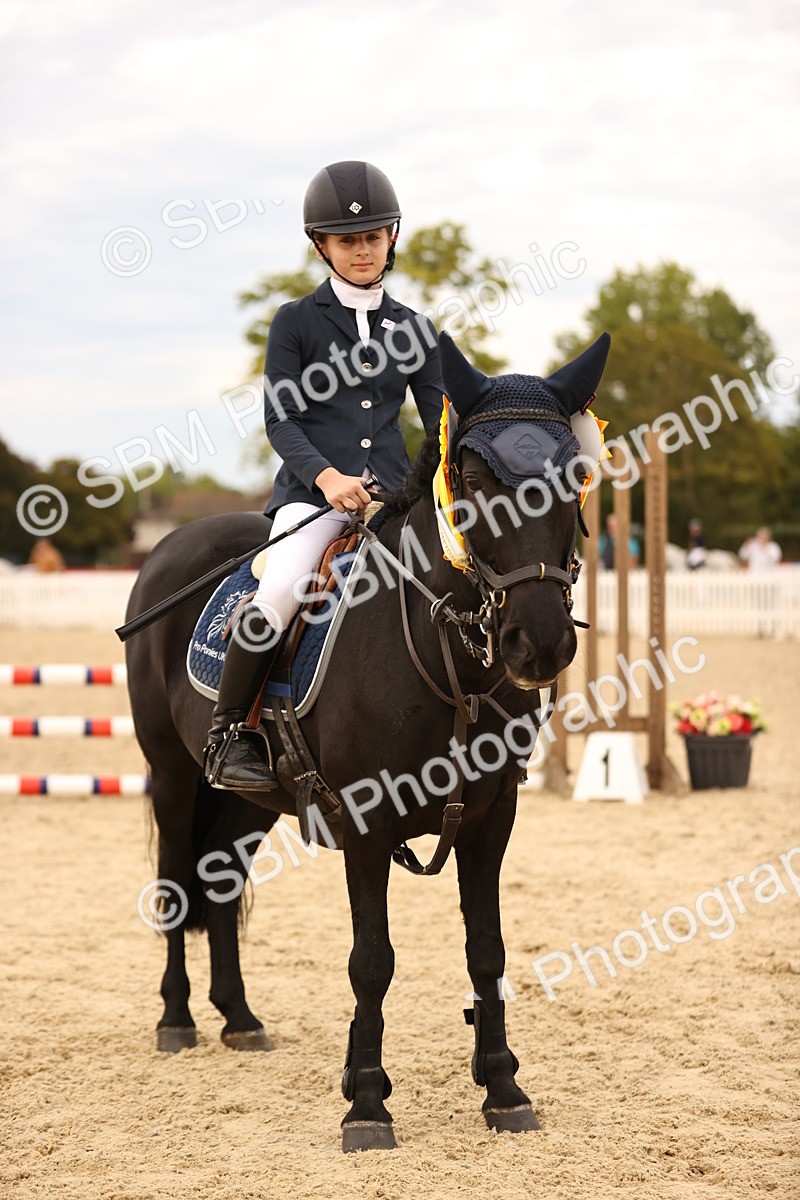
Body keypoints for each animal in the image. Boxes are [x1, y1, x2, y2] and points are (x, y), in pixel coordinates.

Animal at [124, 330, 610, 1153]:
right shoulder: (367, 819)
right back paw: (177, 1018)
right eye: (471, 477)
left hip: (252, 800)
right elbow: (372, 961)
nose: (539, 643)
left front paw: (504, 1089)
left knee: (219, 882)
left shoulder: (492, 817)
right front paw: (369, 1105)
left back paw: (239, 1018)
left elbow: (487, 951)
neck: (441, 652)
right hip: (172, 773)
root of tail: (171, 545)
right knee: (174, 883)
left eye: (575, 474)